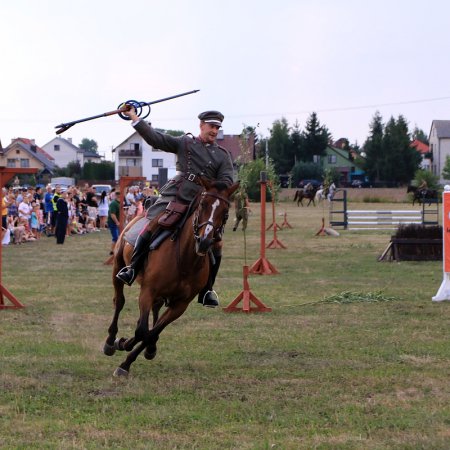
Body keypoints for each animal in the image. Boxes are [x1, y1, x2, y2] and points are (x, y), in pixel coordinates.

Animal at [104, 178, 241, 376]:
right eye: (202, 204)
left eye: (225, 212)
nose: (205, 241)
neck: (185, 259)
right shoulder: (148, 291)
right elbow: (142, 331)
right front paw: (123, 346)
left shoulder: (180, 305)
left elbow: (151, 332)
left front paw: (129, 357)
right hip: (118, 265)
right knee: (119, 301)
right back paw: (110, 341)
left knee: (155, 310)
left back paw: (149, 348)